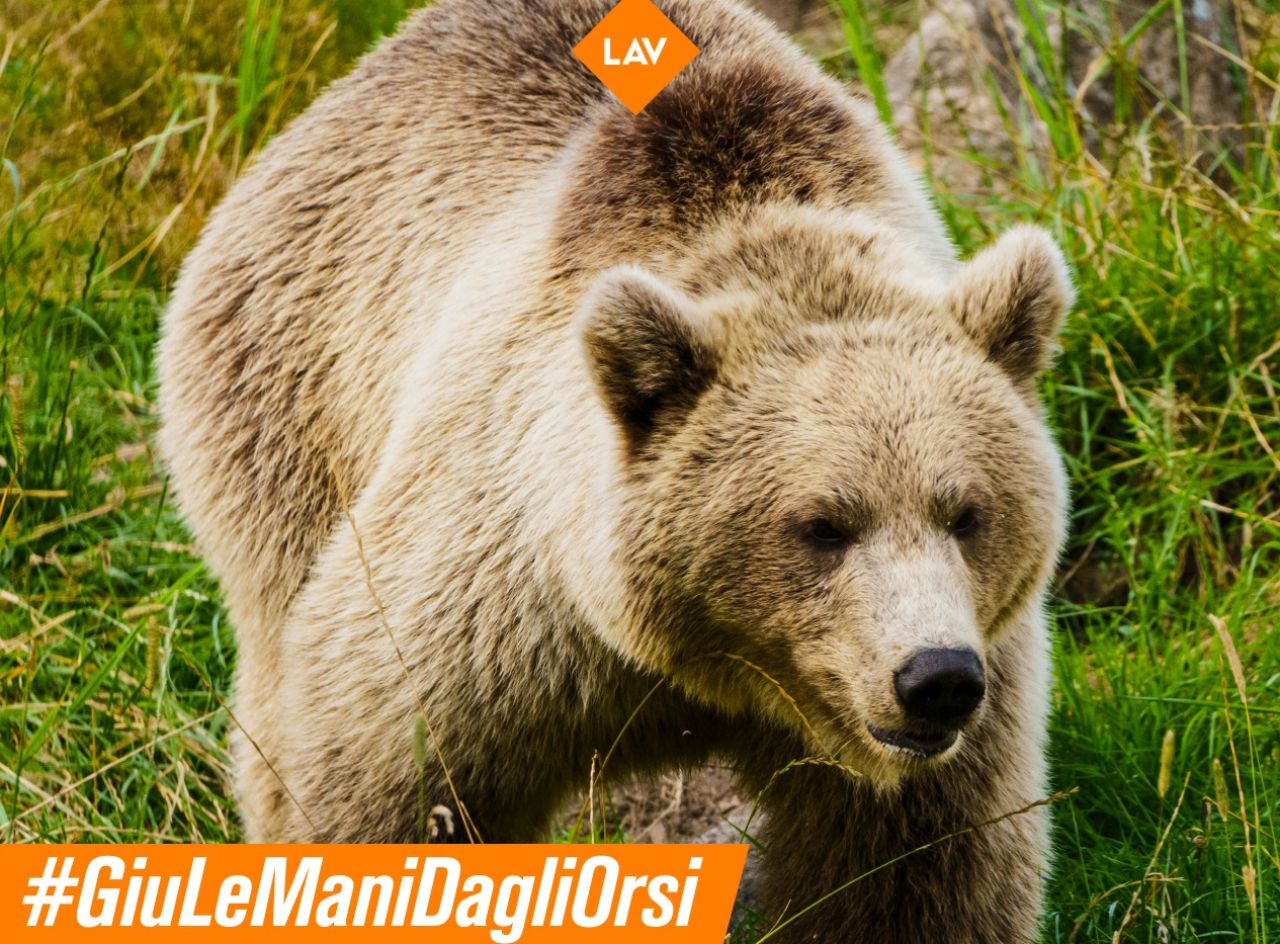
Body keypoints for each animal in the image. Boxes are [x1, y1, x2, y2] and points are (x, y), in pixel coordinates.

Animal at [156, 0, 1073, 939]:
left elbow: (913, 878)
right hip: (288, 412)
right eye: (823, 524)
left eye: (966, 513)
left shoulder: (965, 708)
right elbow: (387, 784)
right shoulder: (497, 620)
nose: (935, 679)